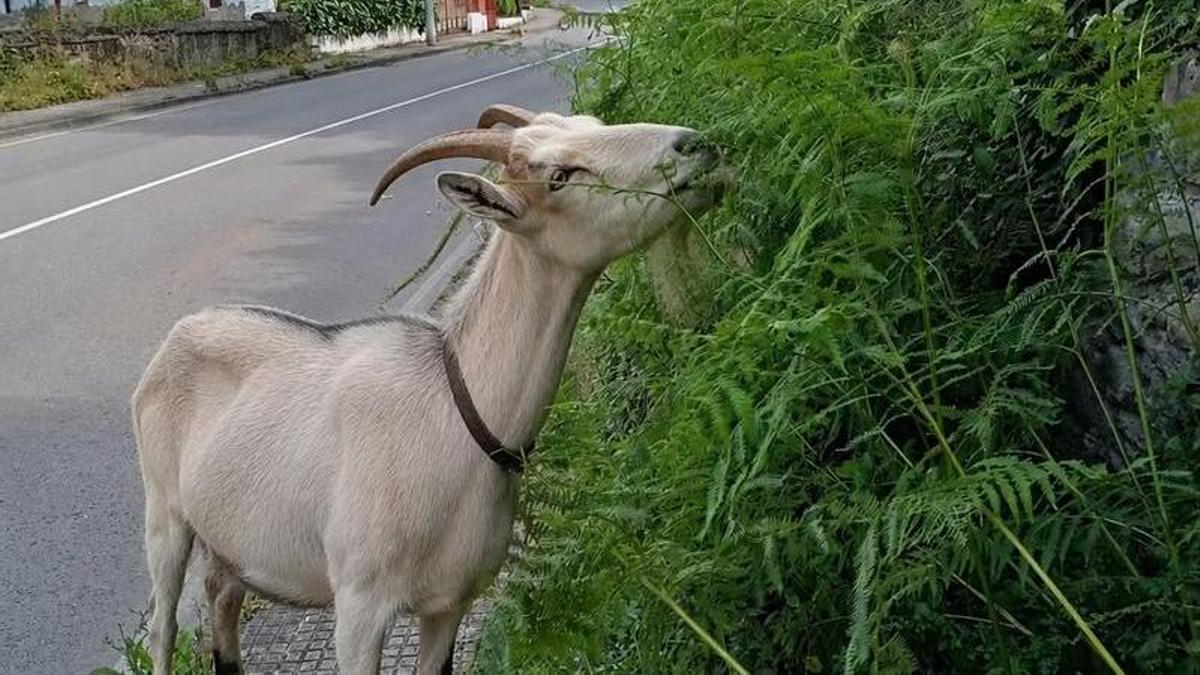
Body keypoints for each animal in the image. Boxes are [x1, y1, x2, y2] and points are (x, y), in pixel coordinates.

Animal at [132, 103, 724, 675]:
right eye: (560, 175)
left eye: (595, 126)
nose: (695, 145)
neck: (458, 413)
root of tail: (178, 333)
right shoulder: (360, 606)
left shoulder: (451, 601)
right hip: (164, 512)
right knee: (163, 626)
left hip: (230, 539)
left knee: (221, 600)